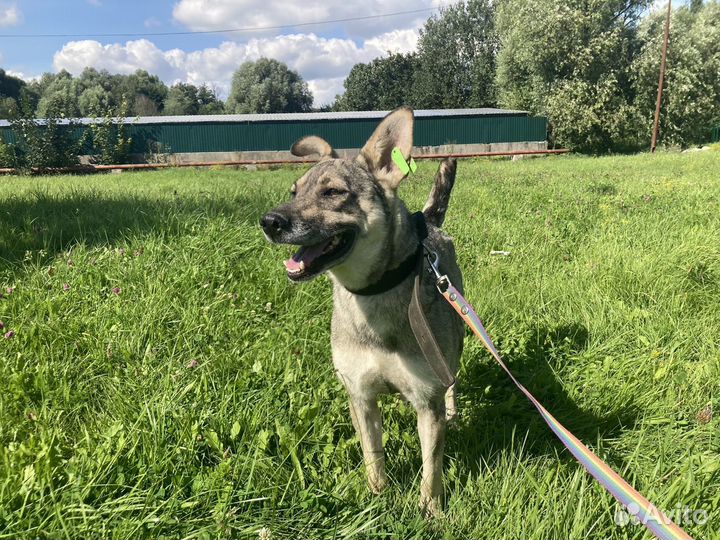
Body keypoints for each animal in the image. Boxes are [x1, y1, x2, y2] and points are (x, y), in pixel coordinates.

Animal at [262, 107, 464, 516]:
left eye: (332, 192)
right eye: (294, 191)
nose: (269, 222)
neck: (371, 295)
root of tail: (431, 223)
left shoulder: (427, 402)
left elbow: (431, 469)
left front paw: (431, 513)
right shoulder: (360, 396)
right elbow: (373, 455)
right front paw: (377, 499)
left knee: (453, 381)